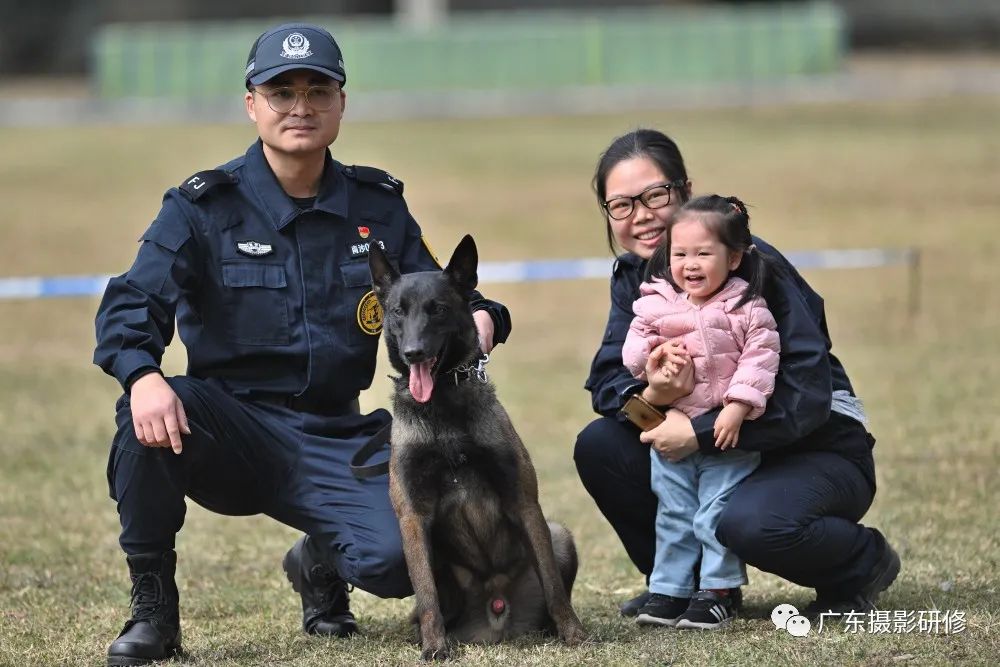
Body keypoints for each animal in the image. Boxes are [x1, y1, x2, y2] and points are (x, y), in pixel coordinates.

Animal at [368, 236, 584, 664]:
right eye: (398, 311)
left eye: (438, 308)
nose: (414, 352)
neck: (443, 409)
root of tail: (496, 615)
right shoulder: (412, 517)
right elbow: (428, 597)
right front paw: (434, 647)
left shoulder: (523, 502)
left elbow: (553, 583)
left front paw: (573, 633)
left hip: (559, 534)